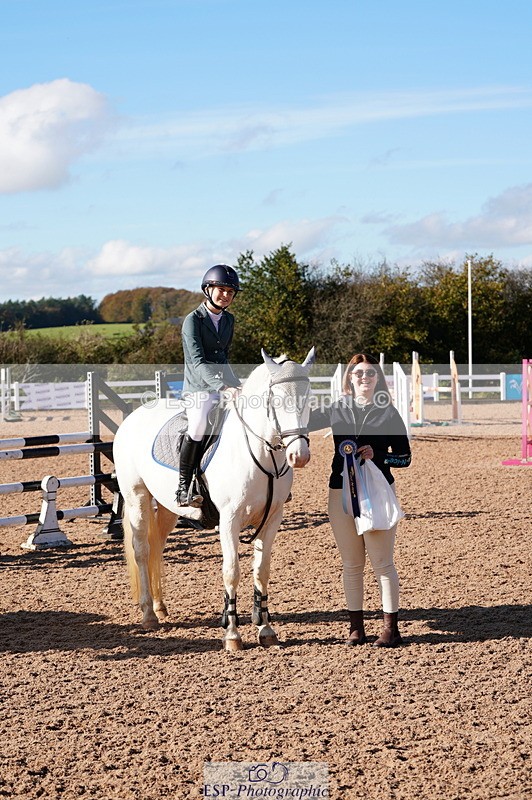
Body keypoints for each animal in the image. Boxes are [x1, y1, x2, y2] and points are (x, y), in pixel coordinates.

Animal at [113, 347, 315, 650]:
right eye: (277, 400)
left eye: (309, 398)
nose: (299, 455)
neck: (260, 453)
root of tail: (132, 417)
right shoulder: (229, 520)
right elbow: (232, 570)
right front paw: (232, 634)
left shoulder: (272, 518)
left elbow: (262, 571)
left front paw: (265, 629)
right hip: (137, 498)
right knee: (142, 550)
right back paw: (148, 614)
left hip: (168, 509)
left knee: (157, 547)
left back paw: (160, 607)